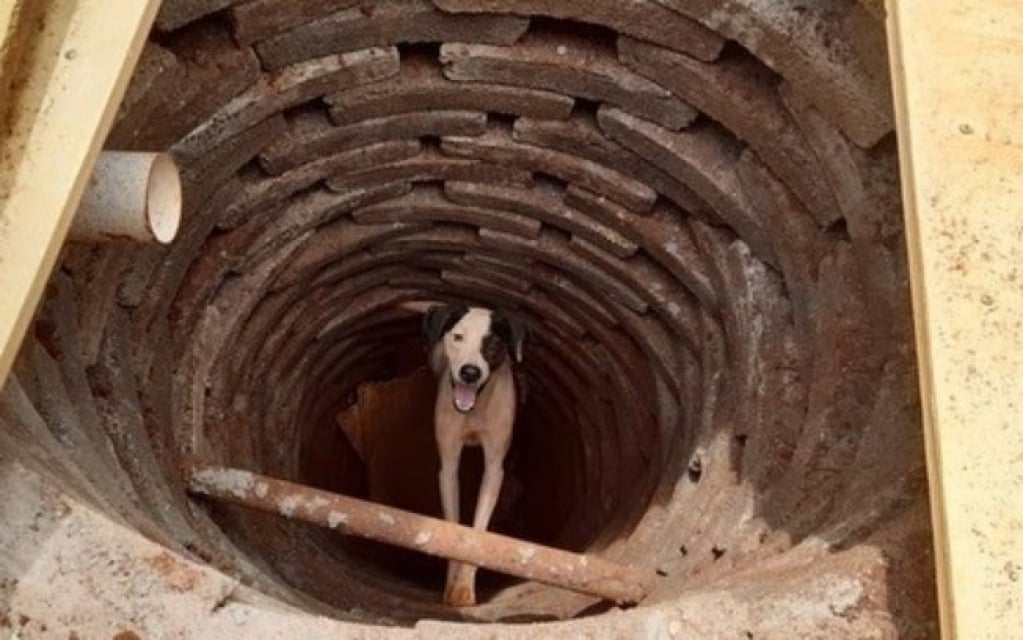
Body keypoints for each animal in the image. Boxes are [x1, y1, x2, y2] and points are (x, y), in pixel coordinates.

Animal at [419, 300, 527, 605]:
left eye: (492, 345)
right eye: (458, 337)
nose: (470, 372)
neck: (474, 410)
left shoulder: (494, 468)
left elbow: (478, 532)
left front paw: (464, 587)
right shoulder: (448, 465)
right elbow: (453, 525)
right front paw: (451, 584)